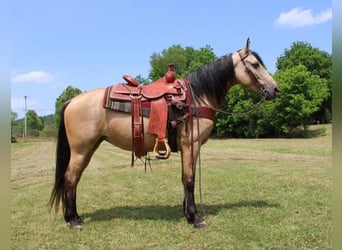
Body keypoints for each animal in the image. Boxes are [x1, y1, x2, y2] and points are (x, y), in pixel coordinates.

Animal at [48, 39, 278, 230]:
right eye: (255, 65)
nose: (275, 89)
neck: (197, 97)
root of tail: (72, 101)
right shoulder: (191, 144)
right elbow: (189, 179)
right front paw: (196, 218)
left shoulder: (188, 147)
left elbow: (186, 178)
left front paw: (187, 214)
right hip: (81, 150)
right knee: (70, 178)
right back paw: (73, 221)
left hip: (89, 148)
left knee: (75, 179)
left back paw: (76, 217)